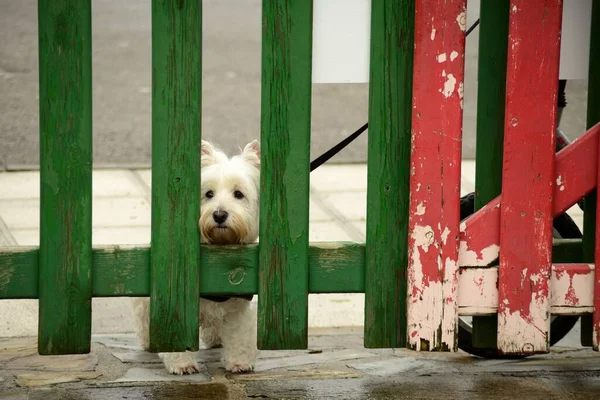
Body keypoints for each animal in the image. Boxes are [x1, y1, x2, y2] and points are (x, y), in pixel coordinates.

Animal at [130, 139, 262, 374]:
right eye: (209, 194)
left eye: (239, 194)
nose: (219, 215)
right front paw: (181, 363)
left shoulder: (238, 303)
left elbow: (239, 333)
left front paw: (239, 362)